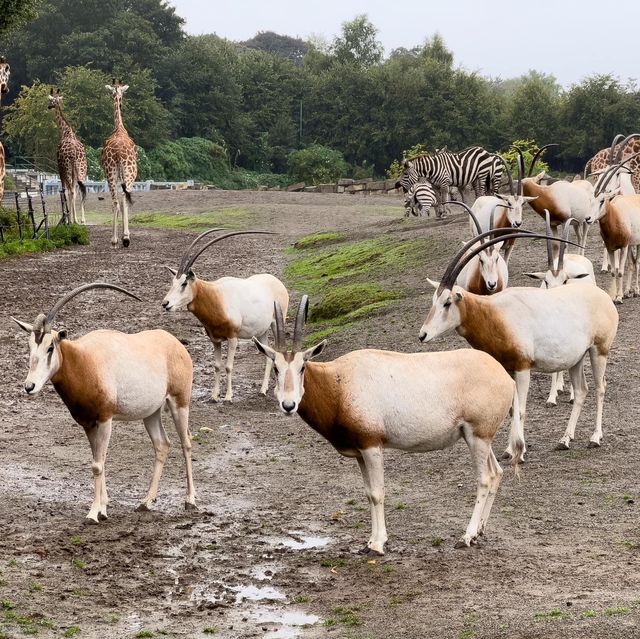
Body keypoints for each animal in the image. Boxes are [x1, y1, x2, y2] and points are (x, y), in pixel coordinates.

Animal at [47, 87, 87, 222]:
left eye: (52, 100)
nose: (49, 106)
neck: (65, 131)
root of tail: (74, 152)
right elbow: (73, 191)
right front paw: (73, 217)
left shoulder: (60, 167)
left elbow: (64, 190)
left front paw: (67, 217)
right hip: (81, 168)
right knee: (80, 189)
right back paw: (82, 219)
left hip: (68, 167)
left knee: (71, 190)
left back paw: (73, 220)